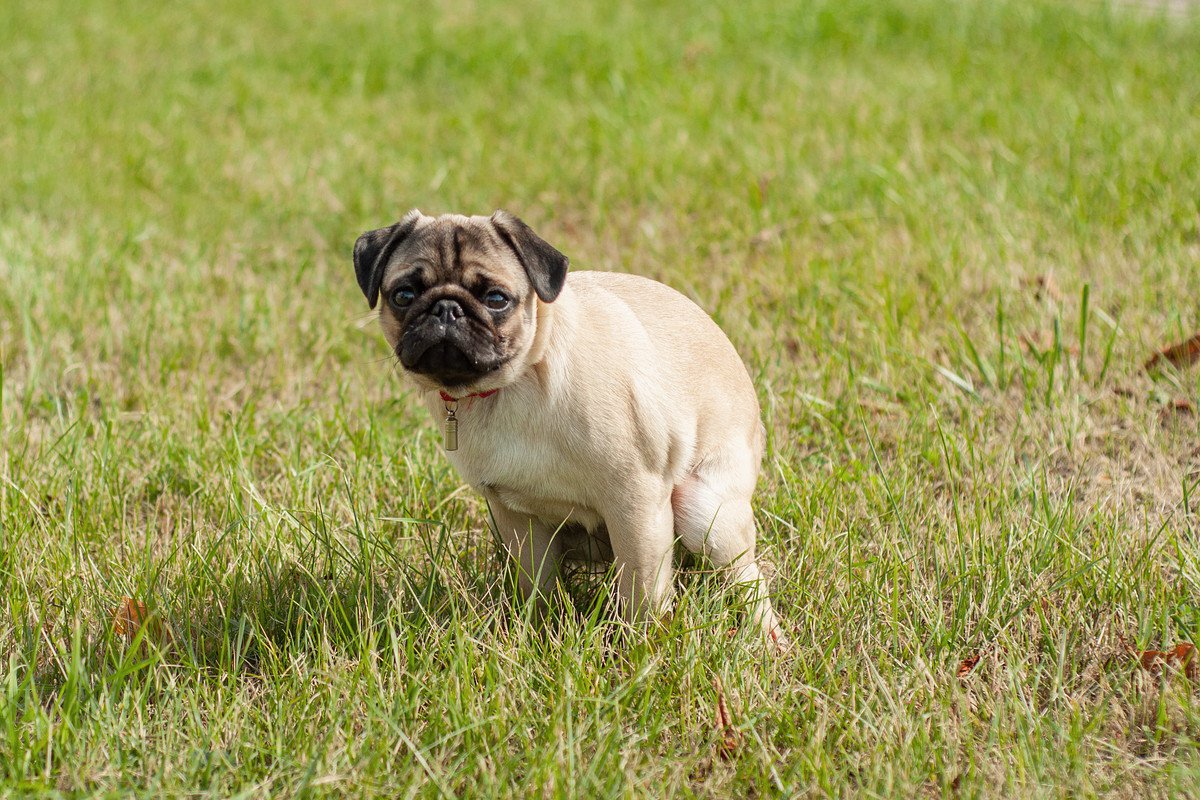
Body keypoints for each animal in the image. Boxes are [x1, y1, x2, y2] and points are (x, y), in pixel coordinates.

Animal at [352, 209, 787, 642]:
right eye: (404, 296)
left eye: (496, 299)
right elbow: (535, 585)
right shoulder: (514, 517)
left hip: (703, 509)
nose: (446, 309)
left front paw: (640, 646)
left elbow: (642, 595)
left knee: (747, 578)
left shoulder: (636, 504)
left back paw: (767, 636)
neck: (516, 383)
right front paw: (533, 631)